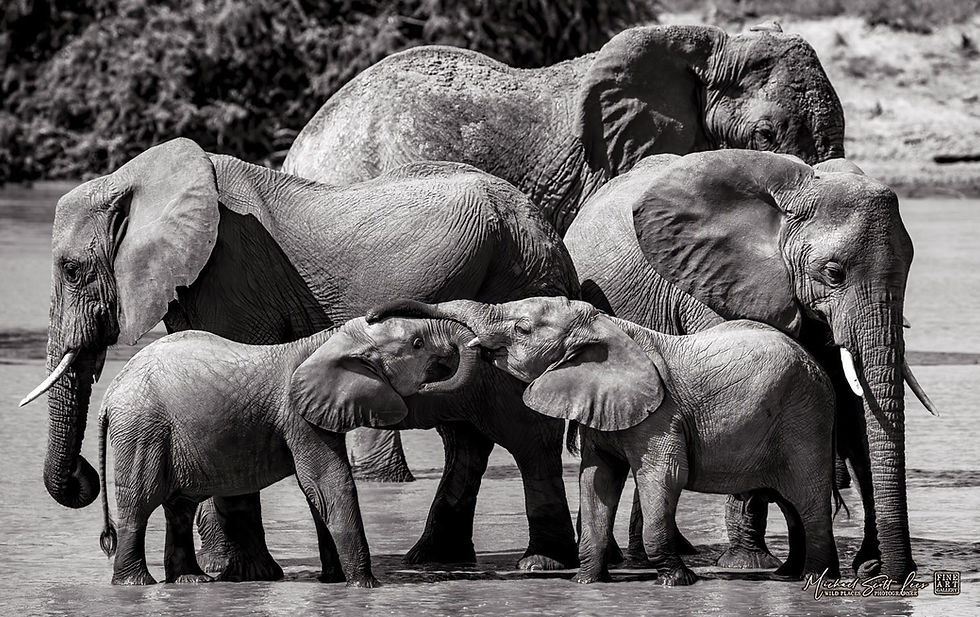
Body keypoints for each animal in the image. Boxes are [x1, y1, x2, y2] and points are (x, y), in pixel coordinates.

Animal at [96, 316, 478, 586]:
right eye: (417, 343)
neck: (328, 340)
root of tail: (110, 395)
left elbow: (319, 493)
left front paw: (334, 581)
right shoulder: (297, 414)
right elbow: (328, 483)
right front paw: (365, 585)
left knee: (180, 508)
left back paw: (191, 580)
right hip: (142, 429)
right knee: (140, 502)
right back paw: (135, 584)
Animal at [367, 297, 840, 585]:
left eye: (523, 328)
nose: (372, 316)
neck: (606, 327)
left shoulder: (662, 414)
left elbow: (663, 476)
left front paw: (677, 582)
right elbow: (597, 480)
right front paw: (585, 582)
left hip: (806, 418)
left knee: (808, 499)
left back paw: (814, 579)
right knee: (792, 504)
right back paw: (789, 575)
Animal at [559, 150, 936, 580]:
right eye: (833, 273)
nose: (898, 574)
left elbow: (857, 406)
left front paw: (871, 568)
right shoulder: (712, 279)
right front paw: (749, 564)